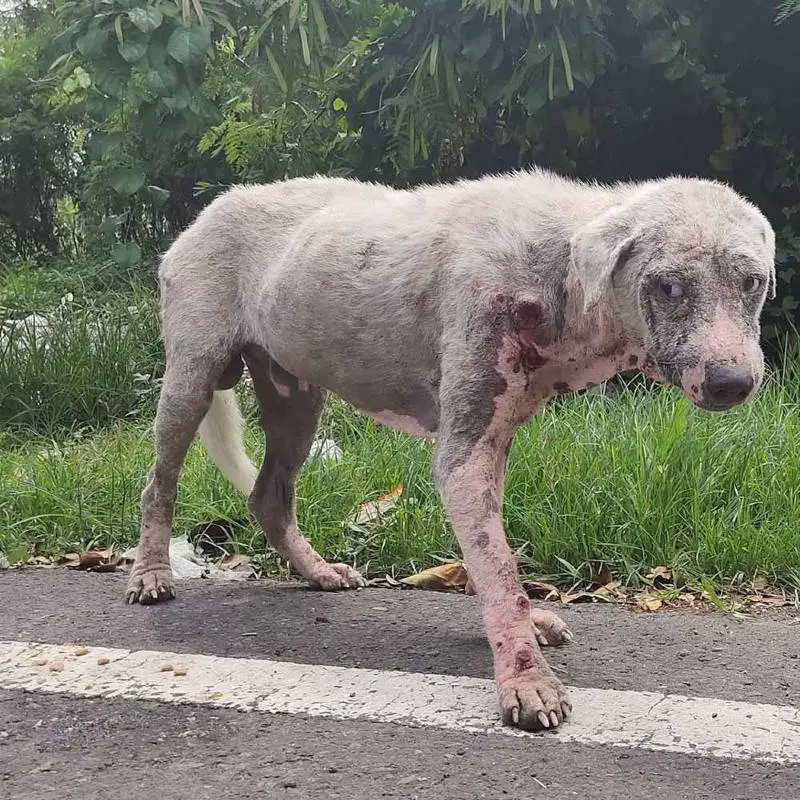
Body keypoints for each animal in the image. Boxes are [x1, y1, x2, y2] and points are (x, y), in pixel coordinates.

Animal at [125, 169, 776, 732]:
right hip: (191, 379)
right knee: (159, 481)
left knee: (268, 496)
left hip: (295, 399)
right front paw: (525, 681)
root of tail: (205, 214)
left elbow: (491, 560)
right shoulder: (465, 454)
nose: (733, 383)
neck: (556, 275)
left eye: (753, 282)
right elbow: (500, 568)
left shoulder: (491, 442)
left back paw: (316, 571)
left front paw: (518, 625)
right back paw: (151, 574)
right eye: (668, 286)